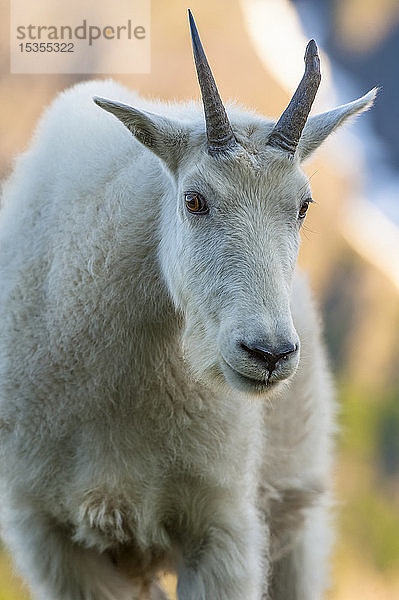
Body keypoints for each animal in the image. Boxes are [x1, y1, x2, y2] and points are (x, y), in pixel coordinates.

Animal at [0, 9, 376, 600]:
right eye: (194, 199)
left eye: (303, 206)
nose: (269, 353)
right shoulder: (48, 532)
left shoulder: (220, 523)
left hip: (296, 509)